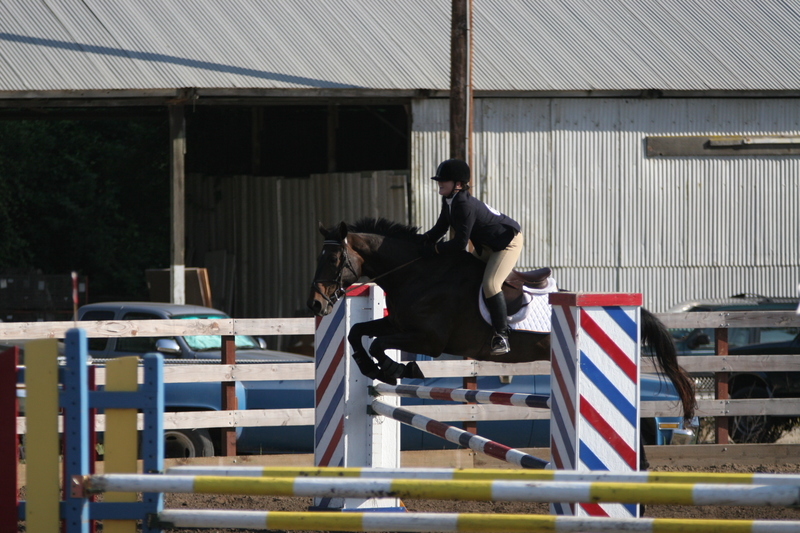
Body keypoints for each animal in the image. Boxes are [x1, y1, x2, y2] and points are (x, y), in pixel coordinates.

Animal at [307, 217, 696, 423]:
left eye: (335, 259)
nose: (316, 303)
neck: (417, 273)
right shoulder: (399, 325)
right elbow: (358, 332)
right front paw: (369, 366)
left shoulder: (429, 340)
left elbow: (379, 343)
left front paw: (394, 369)